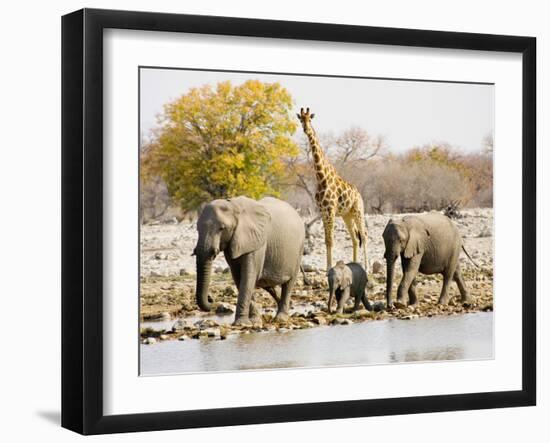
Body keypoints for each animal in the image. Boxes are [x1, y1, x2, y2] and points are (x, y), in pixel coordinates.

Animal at [193, 196, 306, 328]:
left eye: (222, 228)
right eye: (197, 229)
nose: (211, 299)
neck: (233, 205)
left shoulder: (256, 242)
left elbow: (248, 277)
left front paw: (241, 323)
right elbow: (239, 277)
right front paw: (254, 321)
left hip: (299, 249)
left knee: (288, 284)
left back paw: (281, 318)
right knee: (267, 284)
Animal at [298, 108, 370, 274]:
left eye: (310, 119)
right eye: (301, 120)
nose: (306, 129)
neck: (321, 177)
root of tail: (359, 195)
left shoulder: (330, 210)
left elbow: (331, 240)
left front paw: (329, 267)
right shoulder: (324, 211)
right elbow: (326, 240)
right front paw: (327, 267)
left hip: (358, 210)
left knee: (364, 235)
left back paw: (367, 267)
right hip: (346, 215)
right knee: (355, 238)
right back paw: (355, 264)